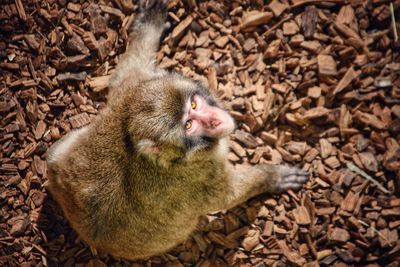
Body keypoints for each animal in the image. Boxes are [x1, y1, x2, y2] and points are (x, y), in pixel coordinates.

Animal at [47, 0, 310, 260]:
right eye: (189, 125)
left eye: (193, 105)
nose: (215, 119)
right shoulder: (199, 179)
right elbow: (229, 195)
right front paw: (272, 177)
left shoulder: (133, 90)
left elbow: (128, 68)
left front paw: (150, 24)